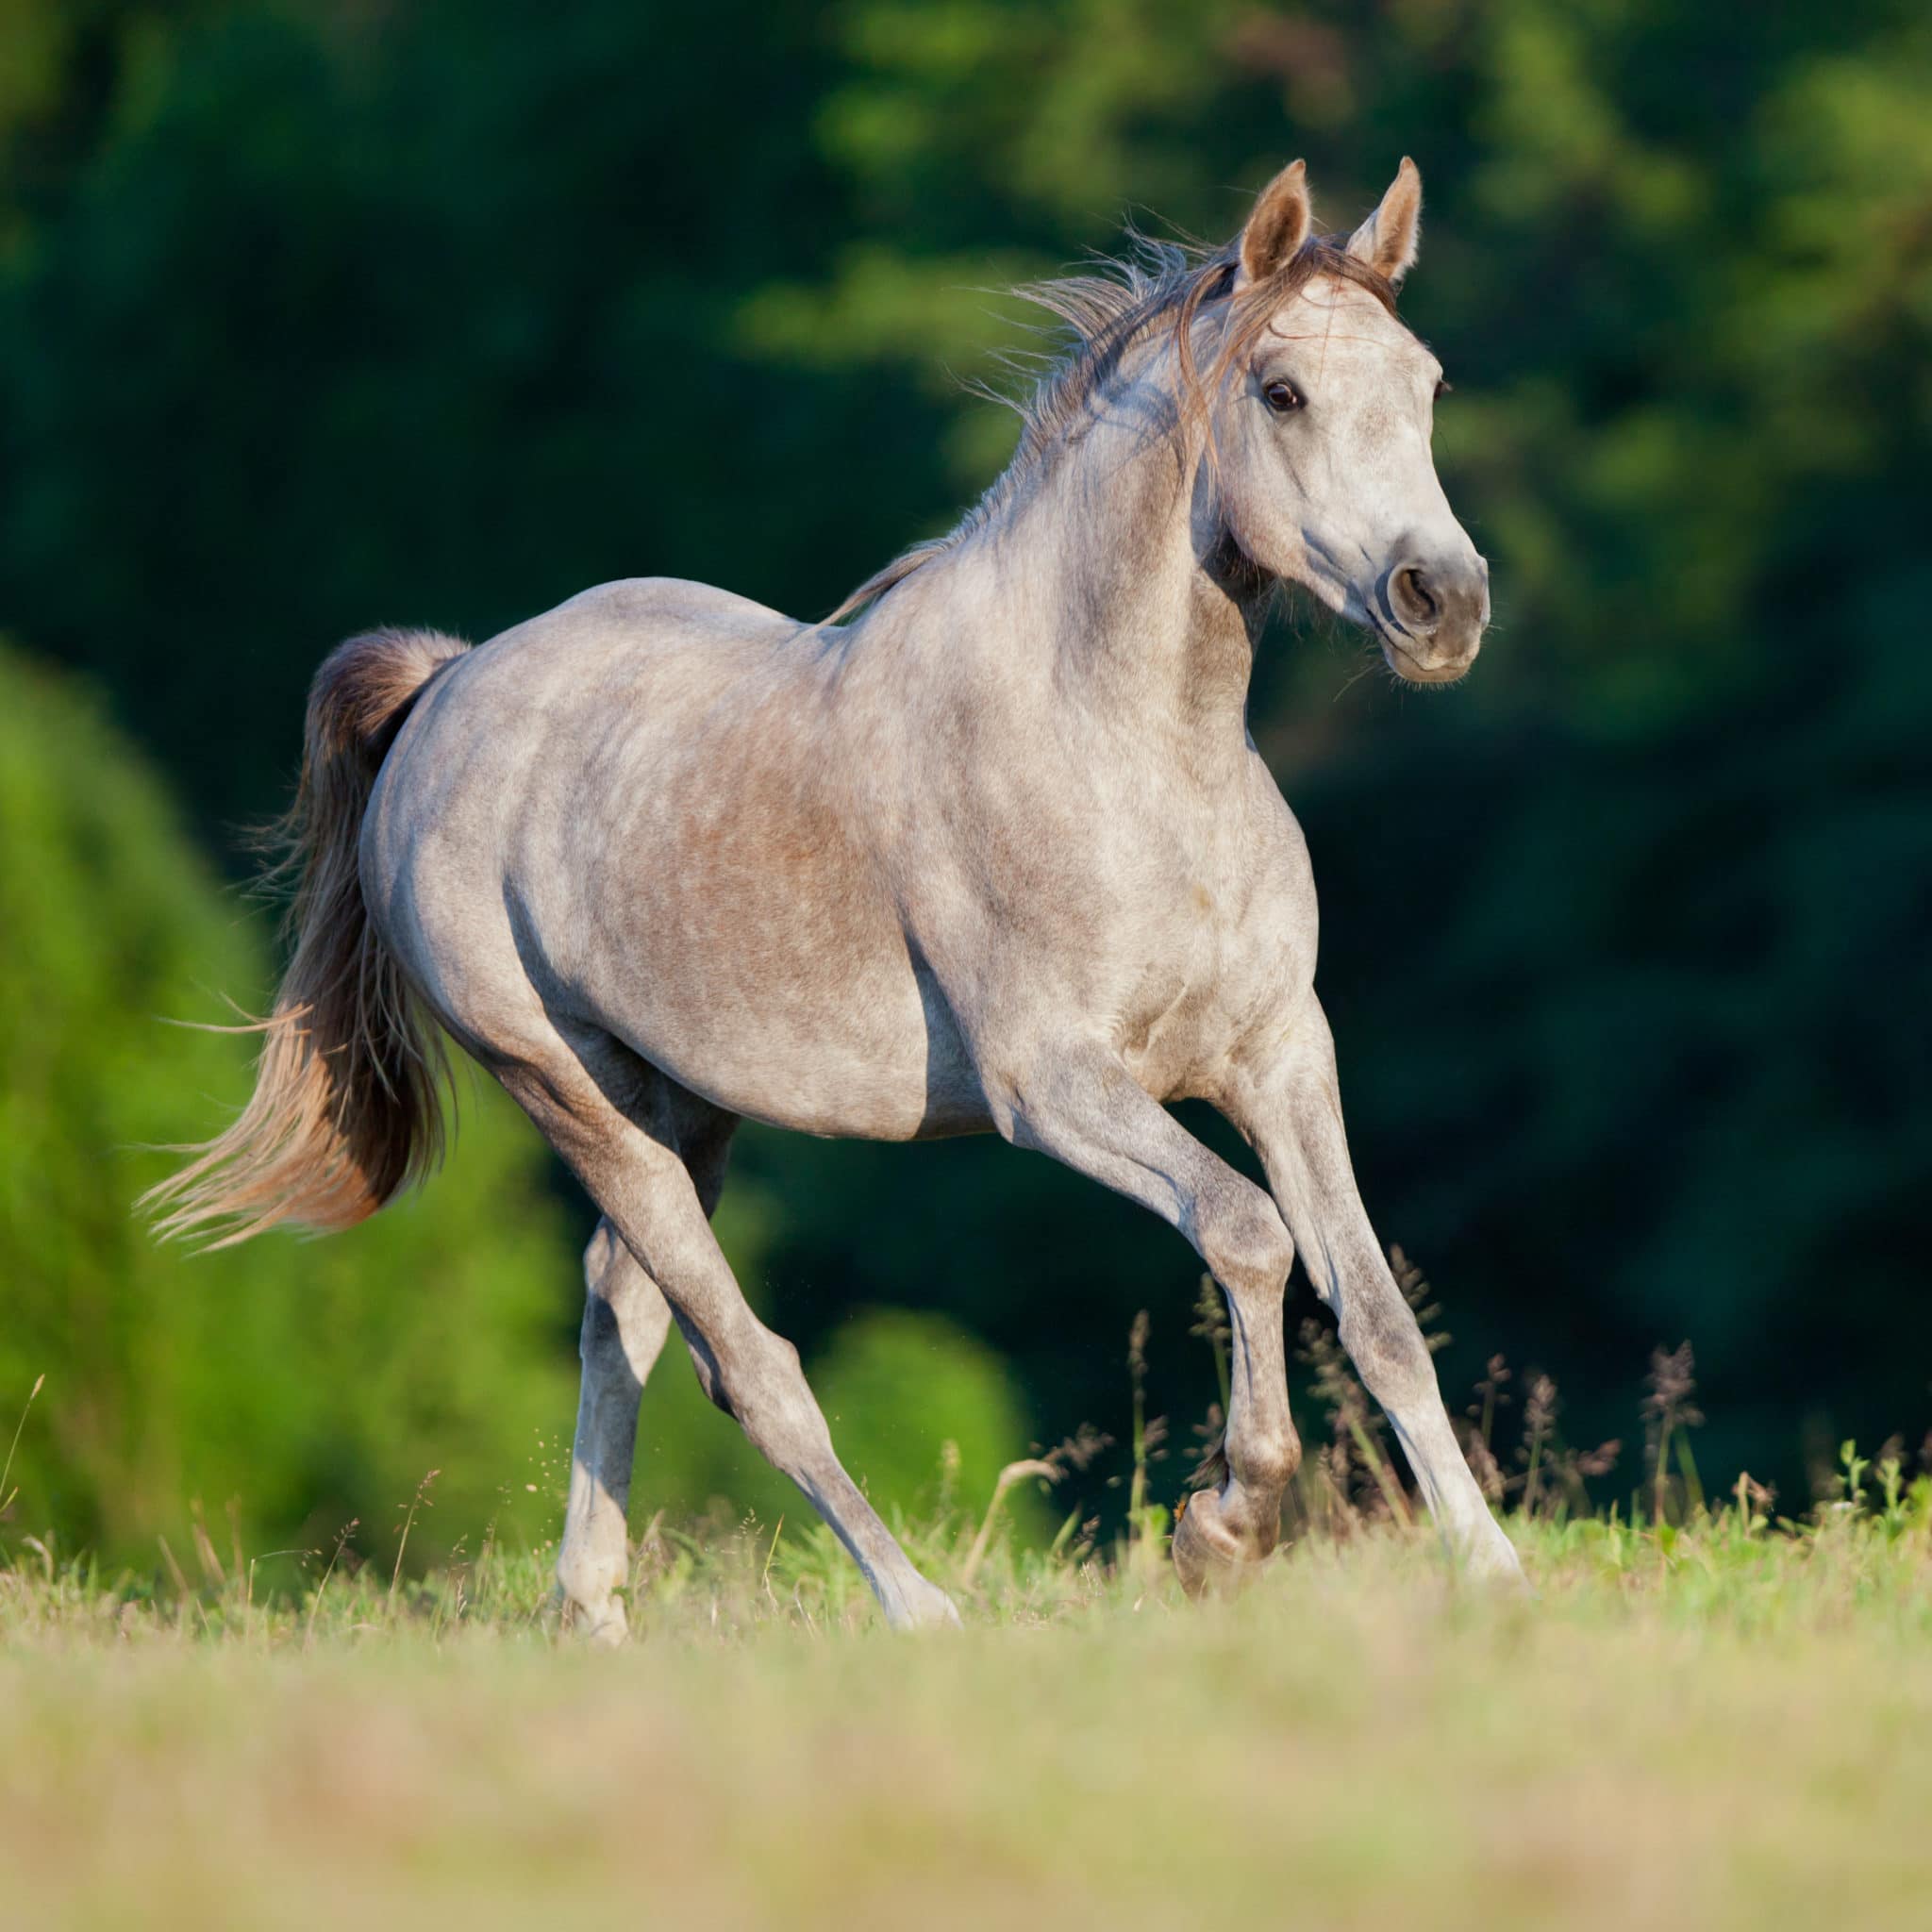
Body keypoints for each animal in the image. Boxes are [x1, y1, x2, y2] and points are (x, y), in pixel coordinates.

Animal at [148, 157, 1524, 1635]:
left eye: (1427, 383)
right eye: (1280, 391)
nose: (1441, 600)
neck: (1132, 751)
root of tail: (449, 683)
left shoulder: (1279, 1053)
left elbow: (1373, 1307)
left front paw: (1492, 1568)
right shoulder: (1055, 1091)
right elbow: (1249, 1235)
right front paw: (1226, 1522)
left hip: (679, 1103)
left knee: (621, 1311)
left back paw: (593, 1612)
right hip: (563, 1088)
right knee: (748, 1366)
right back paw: (913, 1606)